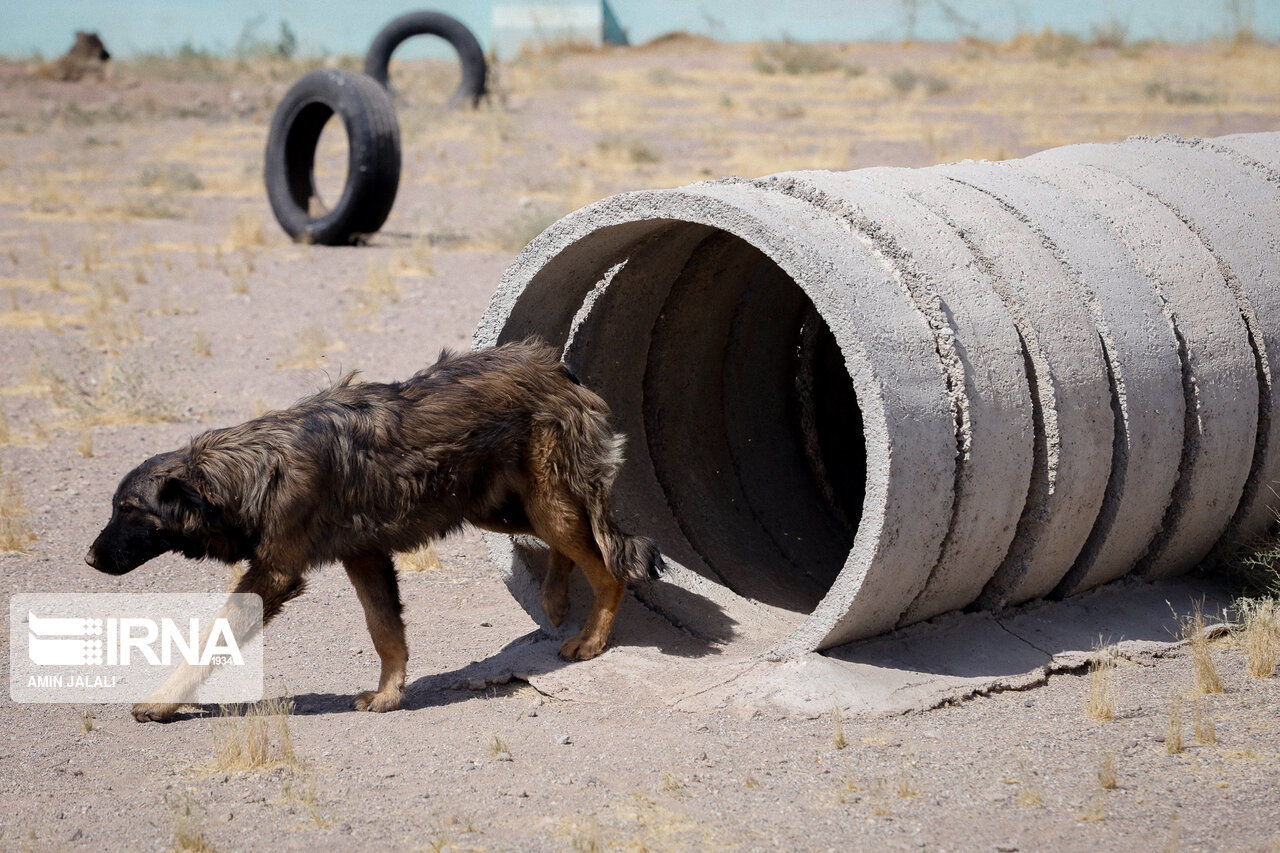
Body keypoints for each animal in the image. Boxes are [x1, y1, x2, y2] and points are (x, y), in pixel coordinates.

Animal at [83, 338, 660, 717]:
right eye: (114, 508)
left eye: (129, 511)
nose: (88, 559)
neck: (252, 471)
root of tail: (556, 367)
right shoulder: (364, 557)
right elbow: (386, 633)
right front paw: (388, 695)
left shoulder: (274, 575)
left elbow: (207, 640)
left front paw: (160, 702)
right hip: (500, 510)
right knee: (578, 547)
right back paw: (556, 601)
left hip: (540, 506)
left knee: (609, 567)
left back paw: (590, 640)